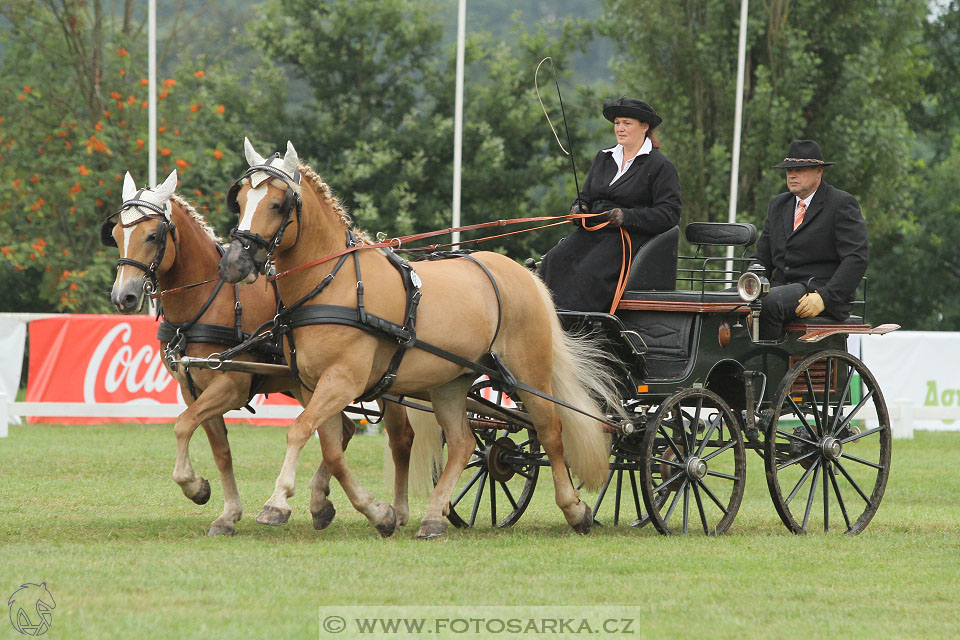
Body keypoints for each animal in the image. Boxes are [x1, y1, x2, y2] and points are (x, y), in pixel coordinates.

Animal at [106, 169, 420, 536]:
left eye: (153, 235)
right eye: (116, 234)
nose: (123, 297)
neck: (209, 300)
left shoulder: (230, 386)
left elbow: (182, 426)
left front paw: (196, 487)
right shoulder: (192, 387)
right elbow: (220, 450)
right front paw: (227, 513)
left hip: (383, 384)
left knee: (400, 440)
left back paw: (398, 510)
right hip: (308, 385)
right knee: (343, 430)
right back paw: (321, 502)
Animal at [218, 140, 624, 540]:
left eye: (277, 203)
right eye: (240, 200)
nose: (234, 264)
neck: (336, 283)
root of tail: (523, 273)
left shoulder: (342, 381)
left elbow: (299, 430)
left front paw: (277, 503)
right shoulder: (310, 385)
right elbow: (331, 450)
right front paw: (378, 513)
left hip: (529, 374)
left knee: (551, 432)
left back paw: (575, 510)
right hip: (451, 382)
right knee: (462, 444)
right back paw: (433, 517)